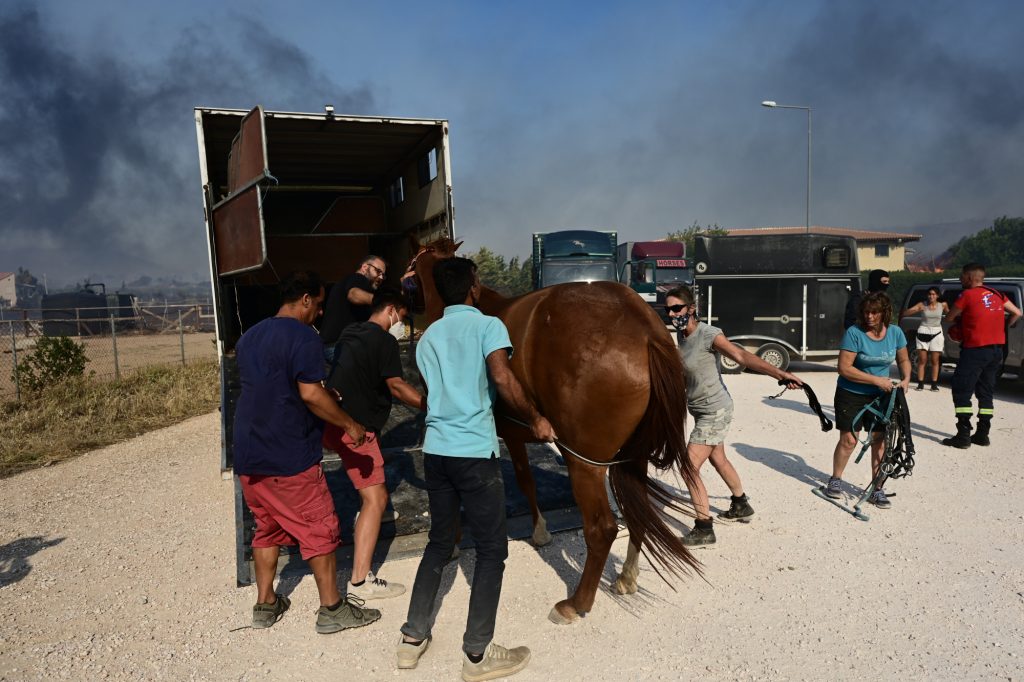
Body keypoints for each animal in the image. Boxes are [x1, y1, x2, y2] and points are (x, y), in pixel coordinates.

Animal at [411, 237, 700, 622]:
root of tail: (645, 330)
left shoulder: (510, 437)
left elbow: (523, 482)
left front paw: (530, 533)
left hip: (585, 464)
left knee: (602, 529)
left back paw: (577, 602)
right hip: (632, 459)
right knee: (637, 514)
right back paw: (626, 578)